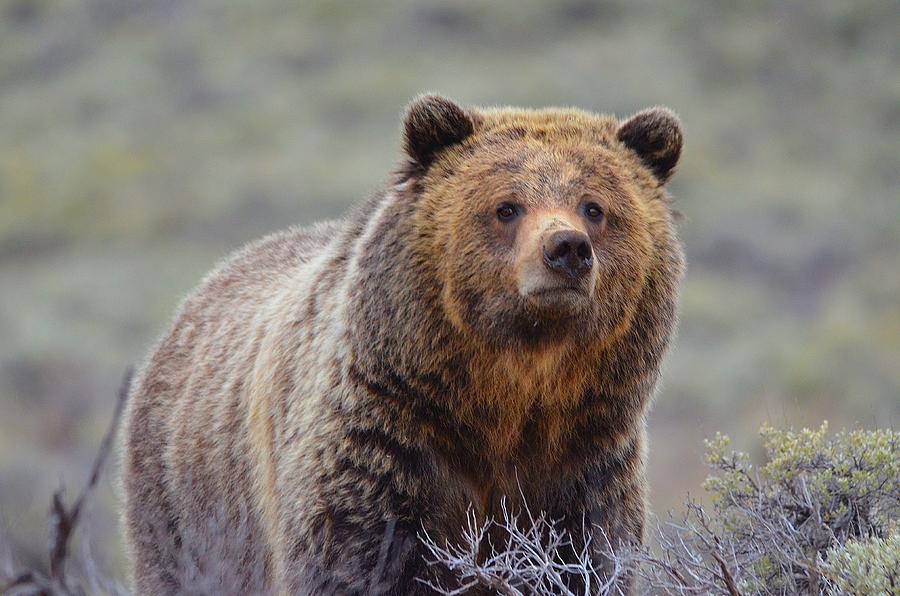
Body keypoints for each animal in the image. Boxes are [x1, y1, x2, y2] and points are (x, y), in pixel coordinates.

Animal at [123, 95, 684, 592]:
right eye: (507, 207)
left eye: (594, 207)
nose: (566, 248)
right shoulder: (384, 447)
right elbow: (354, 560)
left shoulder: (582, 463)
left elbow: (586, 560)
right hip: (184, 508)